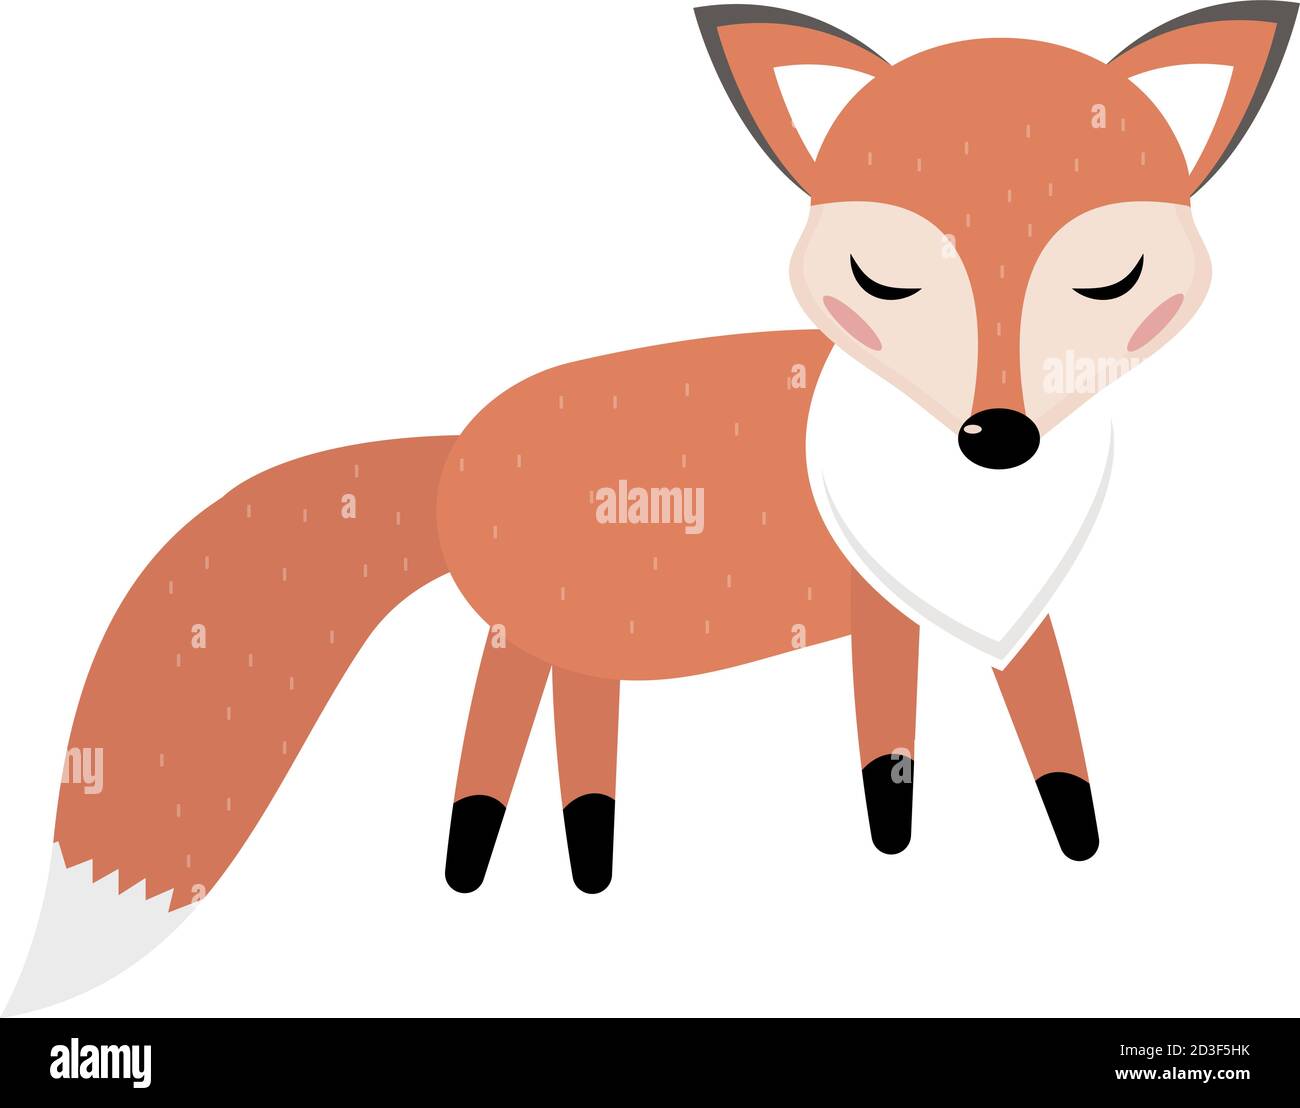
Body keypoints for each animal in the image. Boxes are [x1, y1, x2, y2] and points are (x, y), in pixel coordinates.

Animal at [6, 3, 1295, 1014]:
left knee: (568, 750)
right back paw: (478, 868)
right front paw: (895, 848)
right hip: (534, 633)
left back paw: (581, 865)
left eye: (1107, 279)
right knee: (489, 746)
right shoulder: (878, 616)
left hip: (578, 640)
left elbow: (1055, 744)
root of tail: (452, 448)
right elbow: (889, 753)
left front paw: (1079, 844)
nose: (998, 437)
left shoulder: (1019, 610)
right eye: (884, 281)